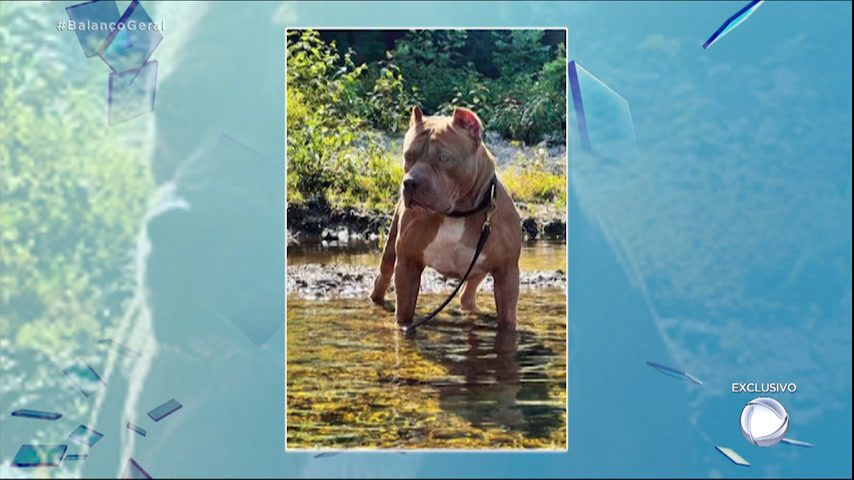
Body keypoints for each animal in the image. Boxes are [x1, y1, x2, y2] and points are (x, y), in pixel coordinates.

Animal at [368, 105, 520, 330]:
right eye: (408, 156)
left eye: (442, 158)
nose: (409, 182)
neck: (456, 213)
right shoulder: (407, 265)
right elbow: (404, 314)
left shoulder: (506, 274)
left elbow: (508, 321)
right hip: (390, 254)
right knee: (382, 277)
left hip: (479, 269)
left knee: (467, 293)